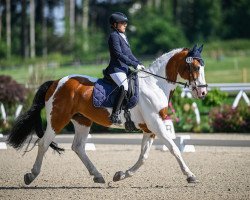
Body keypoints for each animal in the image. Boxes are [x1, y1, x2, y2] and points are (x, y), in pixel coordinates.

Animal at [7, 44, 207, 185]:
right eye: (196, 67)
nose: (203, 92)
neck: (155, 84)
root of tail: (56, 82)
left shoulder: (149, 128)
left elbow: (143, 157)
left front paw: (121, 175)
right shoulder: (155, 124)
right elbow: (173, 148)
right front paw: (190, 175)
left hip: (82, 121)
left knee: (78, 147)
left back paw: (98, 175)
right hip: (58, 119)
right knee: (44, 143)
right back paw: (31, 175)